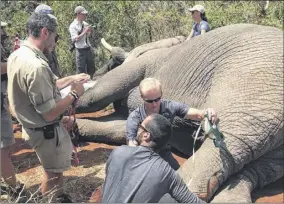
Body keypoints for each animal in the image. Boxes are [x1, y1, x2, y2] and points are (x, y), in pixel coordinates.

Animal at [74, 23, 282, 202]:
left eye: (112, 63)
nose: (93, 75)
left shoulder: (145, 62)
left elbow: (95, 95)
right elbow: (120, 127)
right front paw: (74, 130)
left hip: (253, 80)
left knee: (223, 144)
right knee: (254, 166)